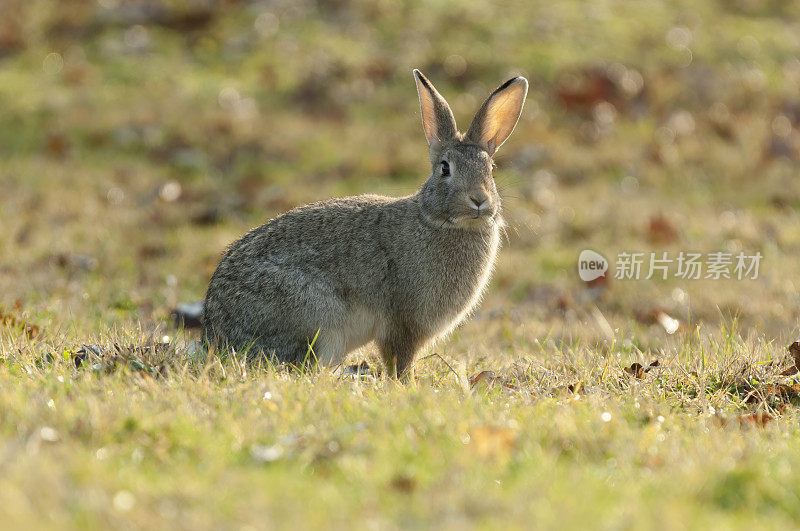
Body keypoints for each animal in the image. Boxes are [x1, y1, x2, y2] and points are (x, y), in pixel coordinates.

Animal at [202, 69, 524, 378]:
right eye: (445, 168)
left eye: (490, 169)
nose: (479, 199)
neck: (440, 222)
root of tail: (216, 333)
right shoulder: (402, 323)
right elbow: (399, 361)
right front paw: (405, 385)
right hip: (315, 319)